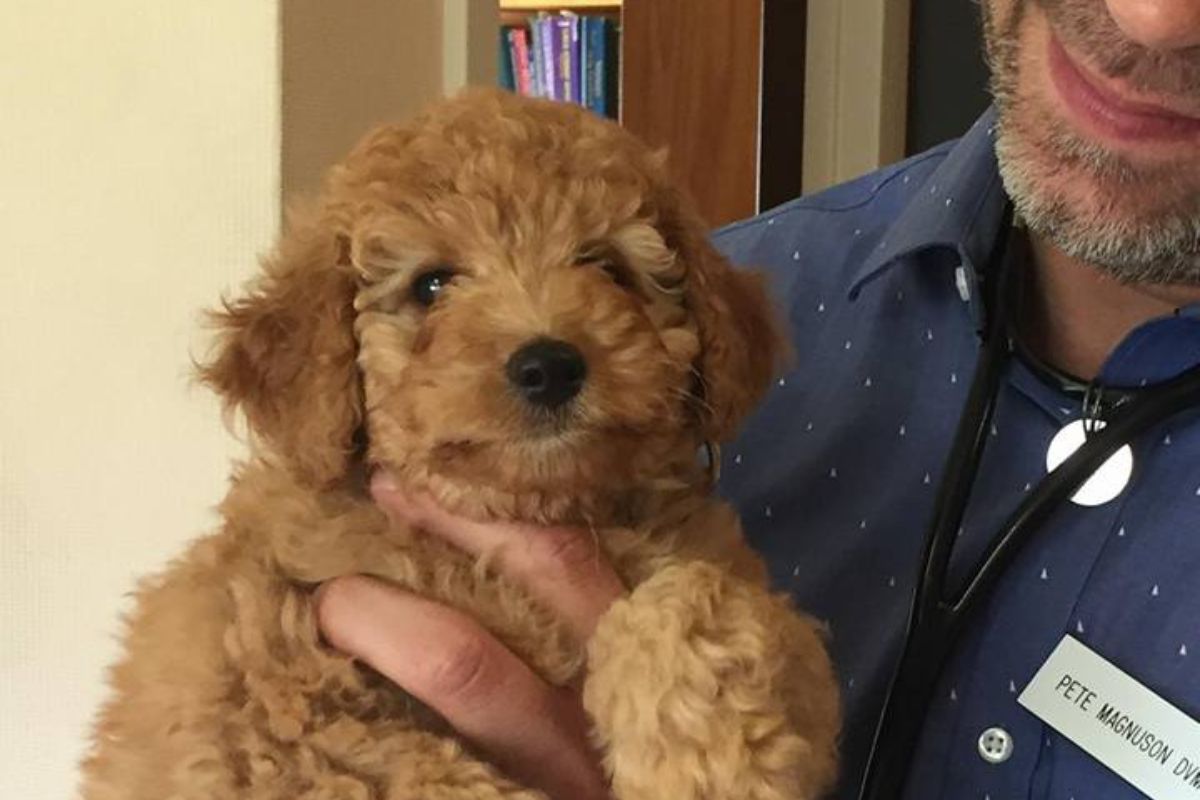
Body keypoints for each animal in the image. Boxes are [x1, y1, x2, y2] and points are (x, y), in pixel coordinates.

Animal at [79, 87, 840, 800]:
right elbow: (414, 768)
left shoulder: (770, 623)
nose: (549, 365)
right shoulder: (268, 708)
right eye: (431, 284)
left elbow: (701, 596)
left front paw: (711, 761)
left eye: (607, 268)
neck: (528, 510)